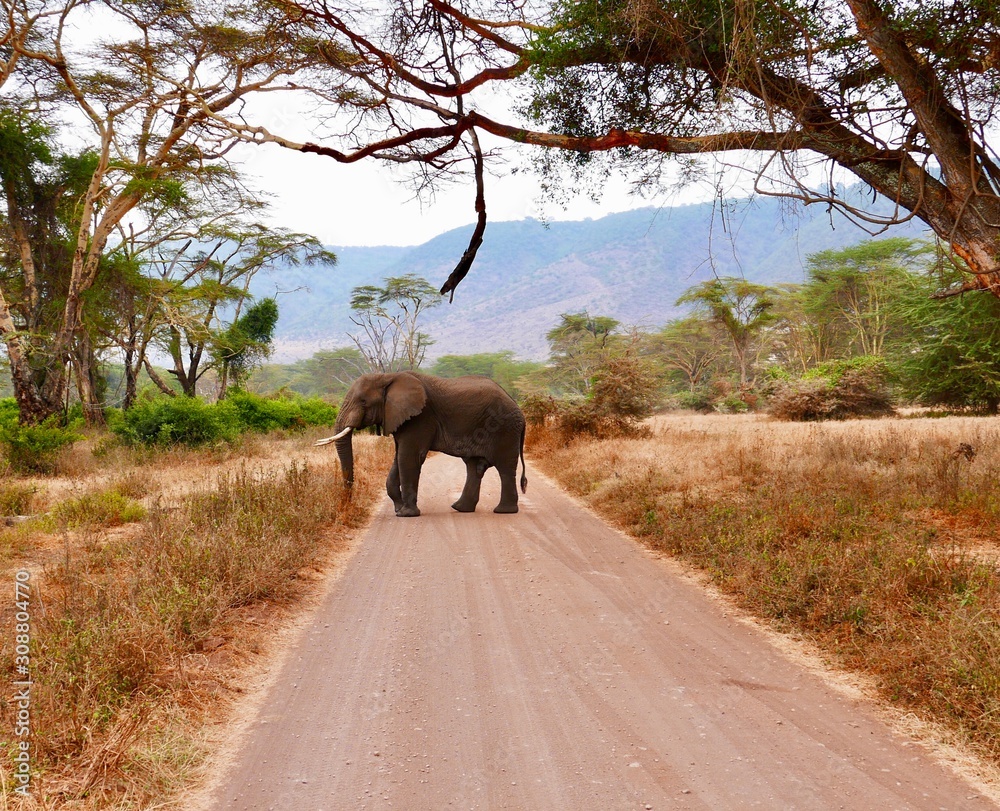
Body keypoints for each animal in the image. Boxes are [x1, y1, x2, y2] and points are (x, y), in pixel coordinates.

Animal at [315, 371, 527, 517]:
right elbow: (398, 458)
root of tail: (519, 410)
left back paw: (503, 511)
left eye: (363, 402)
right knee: (474, 467)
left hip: (505, 429)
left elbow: (409, 457)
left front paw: (406, 514)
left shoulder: (420, 418)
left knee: (505, 468)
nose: (346, 507)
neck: (387, 376)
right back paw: (460, 509)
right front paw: (399, 509)